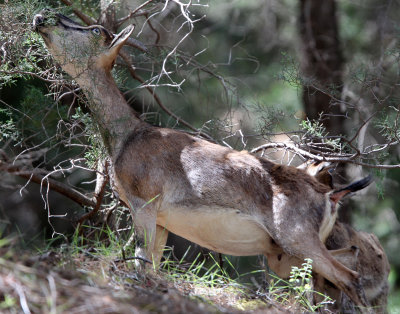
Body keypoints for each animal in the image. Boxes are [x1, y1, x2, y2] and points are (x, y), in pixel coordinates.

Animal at [33, 10, 372, 312]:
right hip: (287, 254)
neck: (125, 138)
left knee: (349, 277)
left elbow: (141, 261)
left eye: (95, 31)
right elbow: (153, 263)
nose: (41, 18)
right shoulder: (162, 219)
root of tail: (330, 194)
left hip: (296, 236)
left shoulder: (145, 201)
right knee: (341, 266)